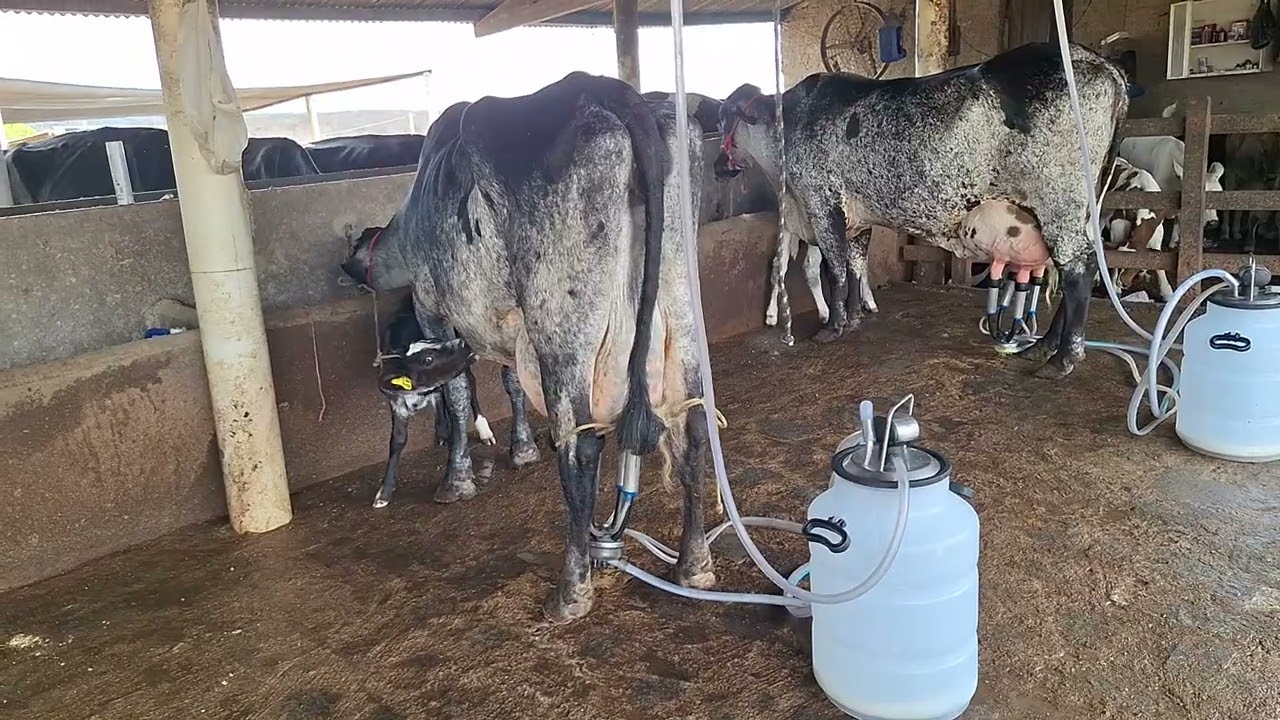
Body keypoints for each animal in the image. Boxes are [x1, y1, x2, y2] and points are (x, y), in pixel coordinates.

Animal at [340, 73, 714, 622]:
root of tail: (605, 89)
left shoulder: (435, 308)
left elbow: (457, 395)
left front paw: (457, 479)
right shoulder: (513, 329)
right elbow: (512, 383)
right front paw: (520, 449)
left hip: (560, 324)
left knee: (580, 444)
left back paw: (571, 591)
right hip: (681, 316)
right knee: (692, 425)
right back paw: (695, 565)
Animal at [715, 42, 1129, 379]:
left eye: (724, 118)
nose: (719, 166)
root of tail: (1106, 66)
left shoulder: (822, 204)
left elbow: (836, 270)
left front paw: (832, 327)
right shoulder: (857, 218)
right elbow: (856, 265)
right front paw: (854, 317)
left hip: (1060, 206)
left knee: (1078, 270)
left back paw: (1062, 359)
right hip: (1083, 209)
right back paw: (1044, 346)